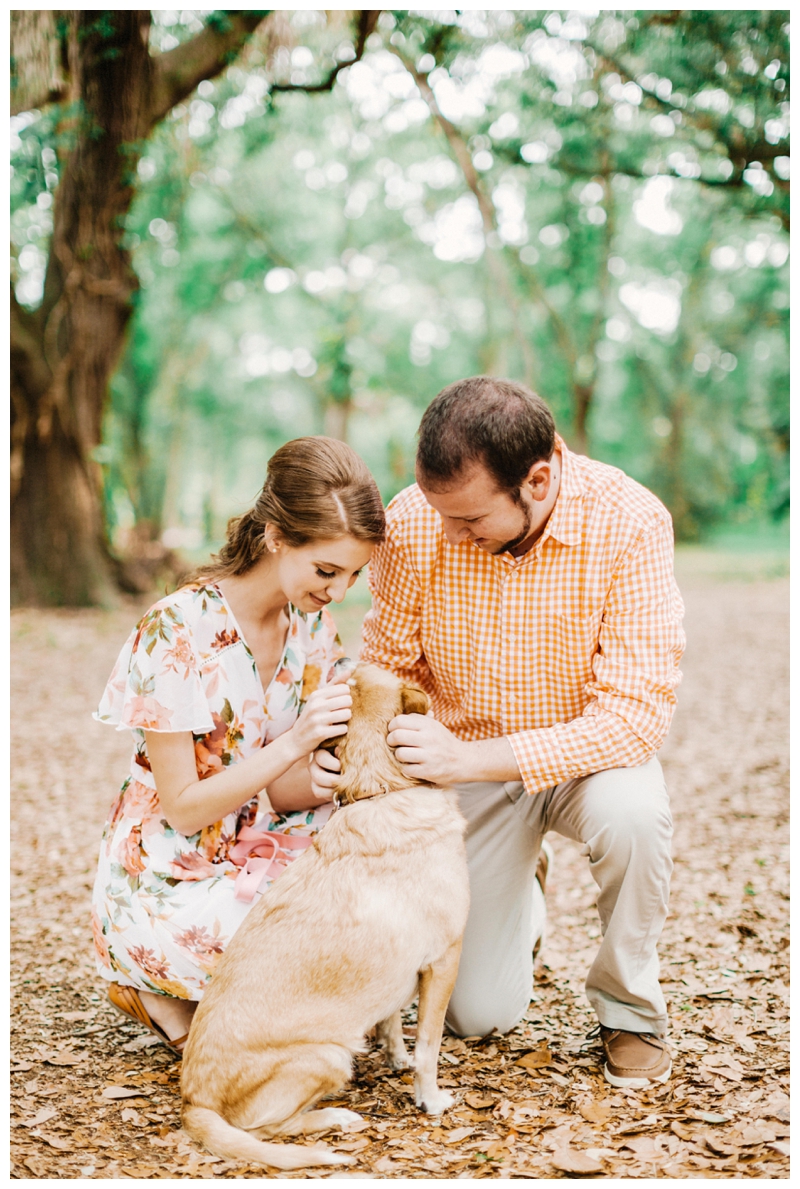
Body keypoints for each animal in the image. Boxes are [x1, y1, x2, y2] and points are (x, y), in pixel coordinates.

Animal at [180, 670, 468, 1169]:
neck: (381, 787)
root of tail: (195, 1103)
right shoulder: (443, 961)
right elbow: (429, 1046)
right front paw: (430, 1098)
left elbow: (392, 1021)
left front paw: (397, 1058)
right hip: (329, 1057)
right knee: (269, 1129)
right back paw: (334, 1119)